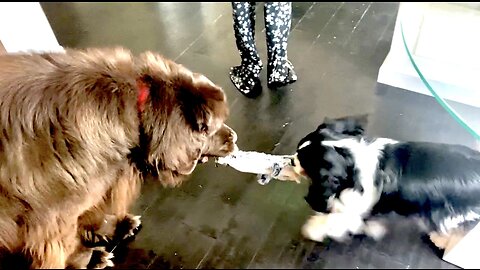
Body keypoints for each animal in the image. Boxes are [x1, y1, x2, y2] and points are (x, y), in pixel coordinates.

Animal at [0, 47, 238, 268]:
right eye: (208, 128)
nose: (234, 138)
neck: (135, 110)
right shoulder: (53, 217)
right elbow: (65, 244)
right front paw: (89, 258)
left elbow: (92, 213)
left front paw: (115, 227)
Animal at [292, 115, 480, 252]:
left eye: (303, 160)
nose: (292, 160)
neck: (351, 157)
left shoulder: (357, 205)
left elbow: (337, 219)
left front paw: (313, 228)